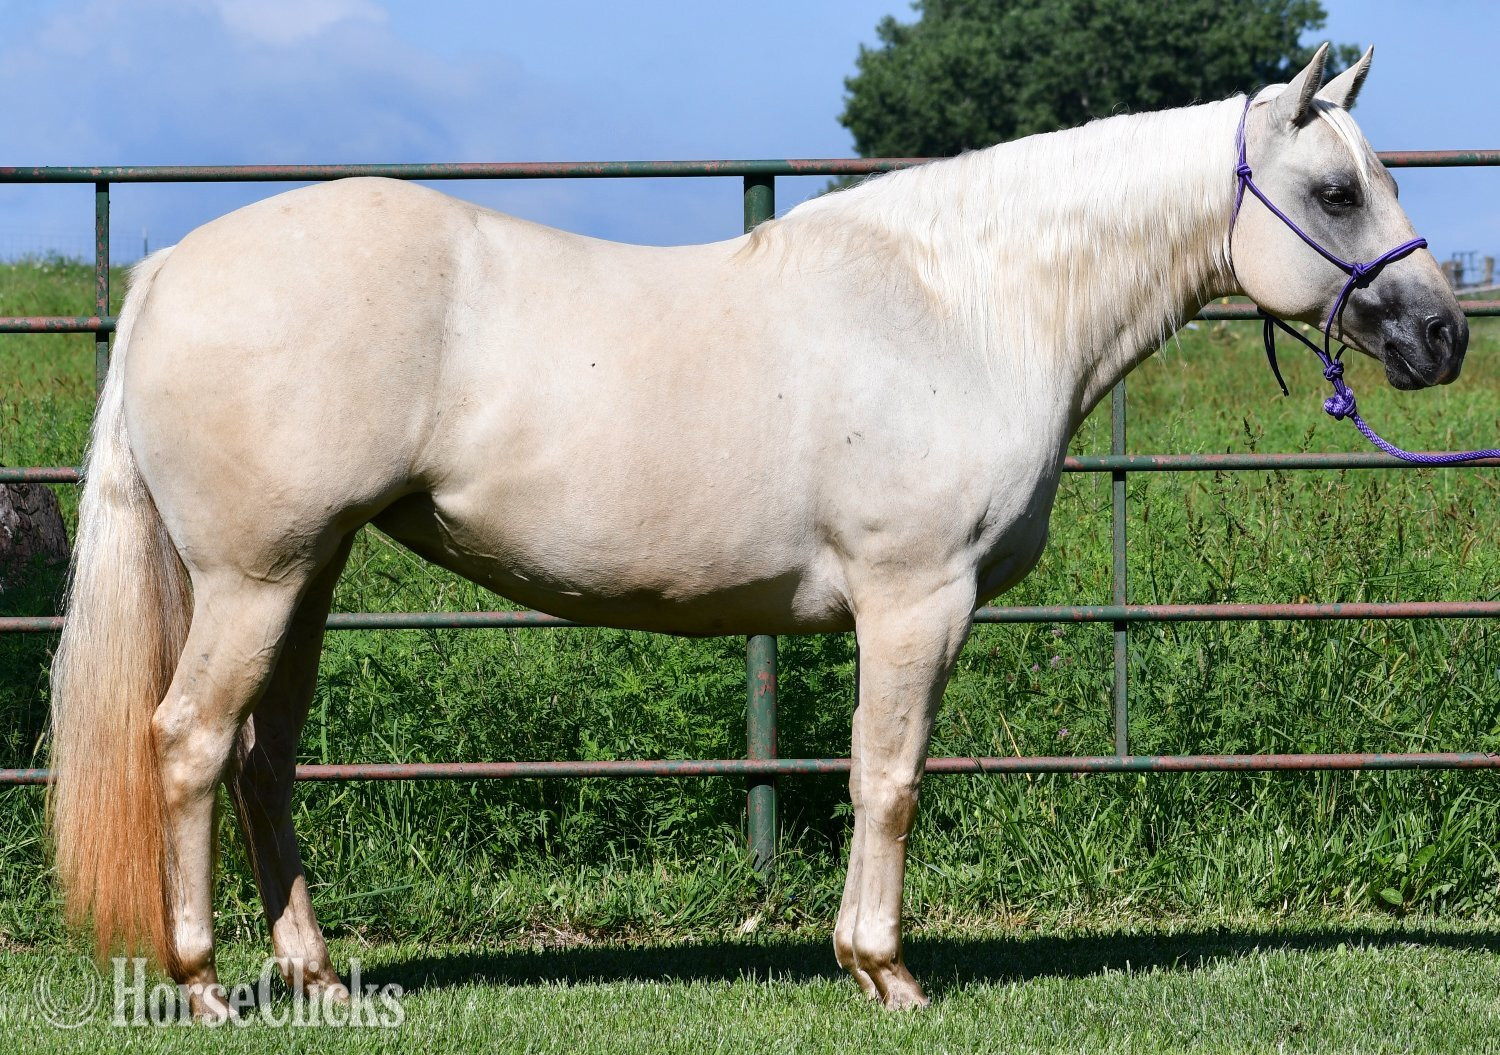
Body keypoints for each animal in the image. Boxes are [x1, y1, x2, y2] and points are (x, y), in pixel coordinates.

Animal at [48, 43, 1466, 1016]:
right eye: (1336, 191)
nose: (1443, 335)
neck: (968, 306)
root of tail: (170, 265)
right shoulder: (915, 599)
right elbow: (888, 777)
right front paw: (883, 968)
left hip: (308, 573)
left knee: (263, 759)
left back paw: (320, 974)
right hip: (254, 576)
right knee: (187, 742)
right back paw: (202, 979)